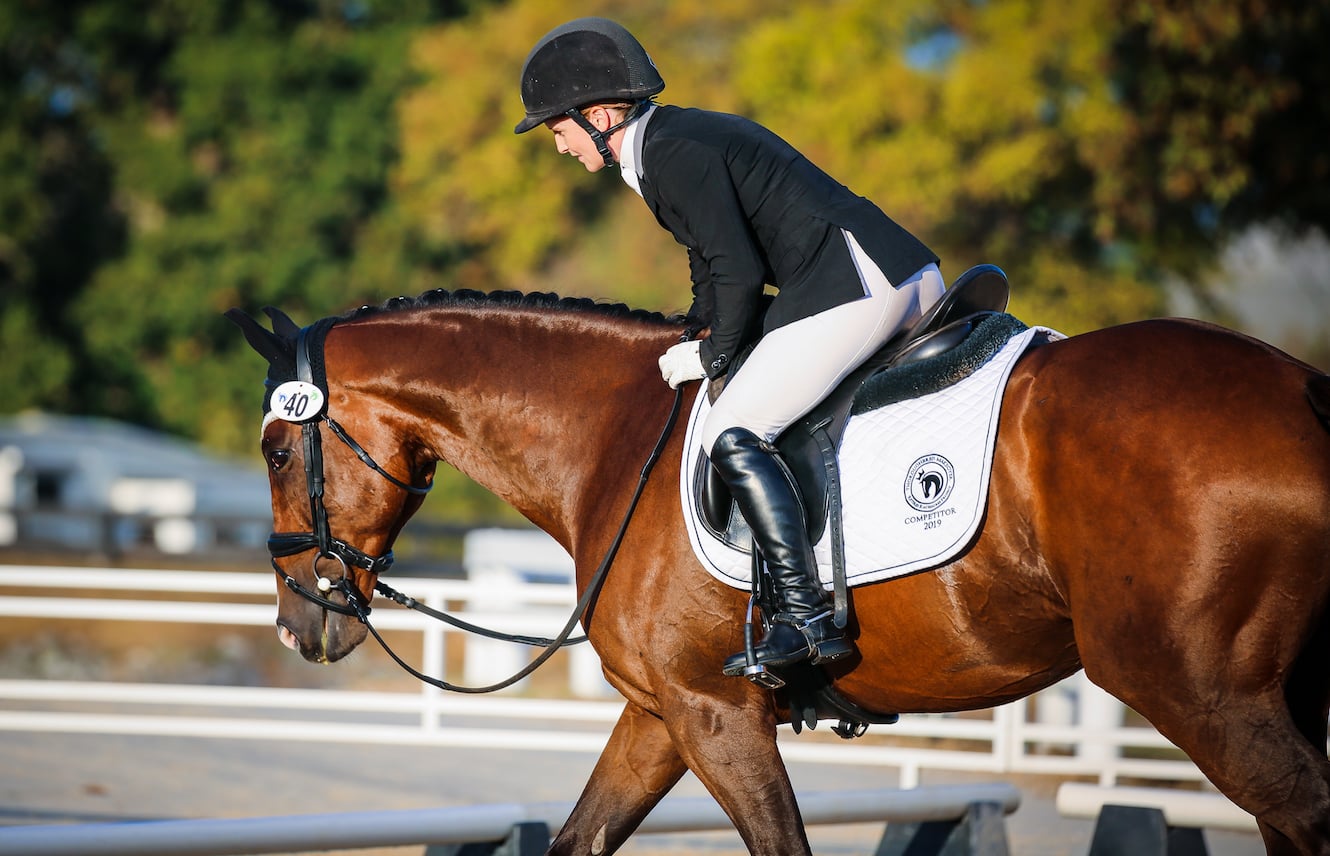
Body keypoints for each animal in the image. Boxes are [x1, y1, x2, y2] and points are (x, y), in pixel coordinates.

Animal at [227, 289, 1330, 855]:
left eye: (278, 452)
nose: (298, 623)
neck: (612, 440)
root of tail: (1302, 387)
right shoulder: (663, 711)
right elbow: (580, 837)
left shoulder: (716, 712)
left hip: (1199, 690)